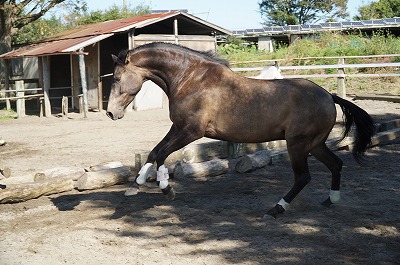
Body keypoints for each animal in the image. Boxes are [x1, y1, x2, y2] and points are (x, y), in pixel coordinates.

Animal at [106, 42, 376, 218]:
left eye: (117, 79)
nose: (110, 113)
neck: (190, 79)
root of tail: (329, 96)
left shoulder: (192, 131)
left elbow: (162, 154)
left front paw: (167, 189)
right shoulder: (178, 127)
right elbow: (154, 151)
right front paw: (135, 185)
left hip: (298, 144)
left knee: (303, 177)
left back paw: (276, 209)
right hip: (315, 144)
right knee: (336, 165)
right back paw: (331, 200)